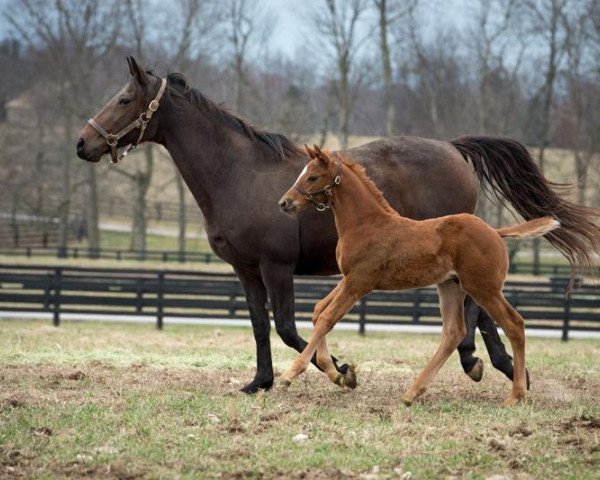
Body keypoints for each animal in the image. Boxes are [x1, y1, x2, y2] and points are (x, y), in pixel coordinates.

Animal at [278, 145, 560, 404]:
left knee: (514, 324)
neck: (366, 224)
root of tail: (495, 232)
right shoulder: (349, 278)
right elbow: (319, 310)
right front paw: (338, 374)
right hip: (450, 286)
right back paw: (411, 393)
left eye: (312, 177)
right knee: (453, 332)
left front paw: (290, 375)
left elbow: (328, 317)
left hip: (484, 289)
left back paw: (516, 395)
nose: (284, 203)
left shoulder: (359, 282)